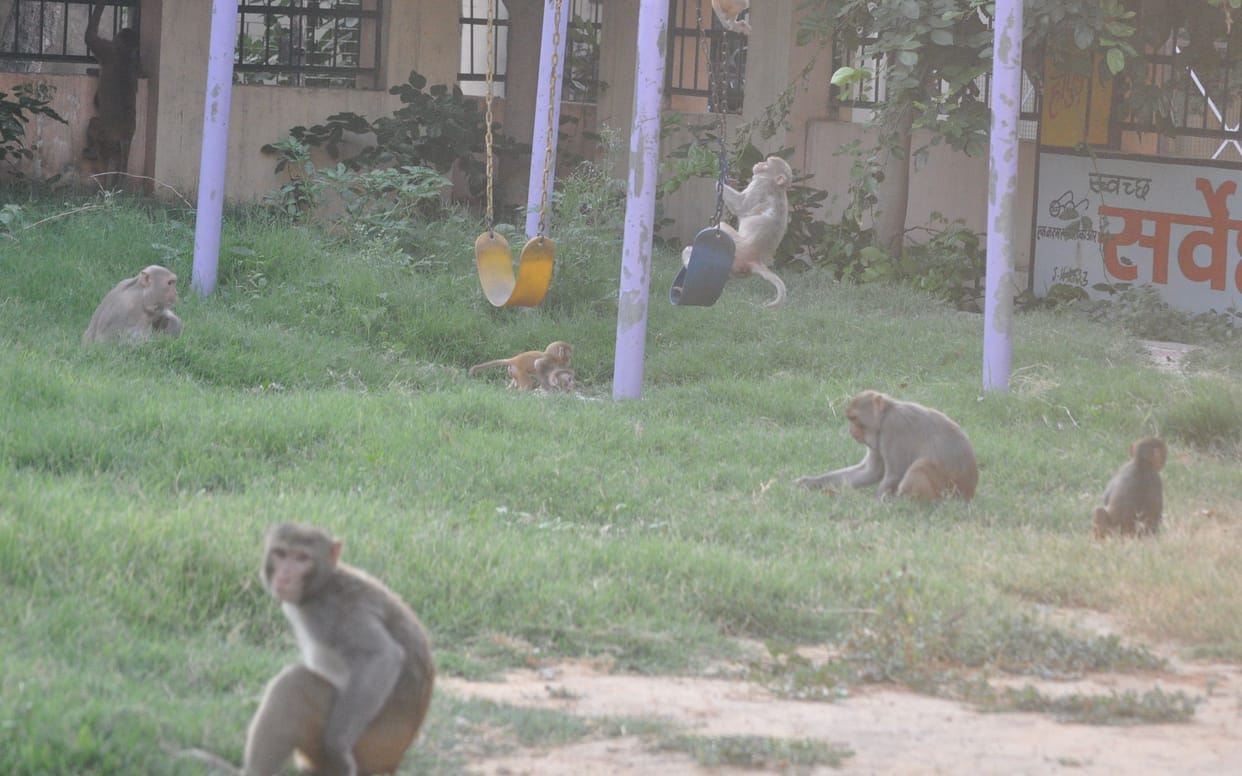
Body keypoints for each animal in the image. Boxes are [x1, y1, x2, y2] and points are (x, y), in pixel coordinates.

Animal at [84, 1, 141, 186]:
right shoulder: (133, 66)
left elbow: (90, 37)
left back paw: (92, 153)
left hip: (107, 137)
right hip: (115, 146)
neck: (125, 53)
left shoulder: (108, 50)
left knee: (94, 124)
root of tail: (125, 135)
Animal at [245, 523, 434, 776]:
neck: (323, 584)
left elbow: (382, 657)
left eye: (303, 558)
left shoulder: (333, 610)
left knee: (293, 685)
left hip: (371, 746)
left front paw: (337, 748)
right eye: (281, 553)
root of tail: (396, 760)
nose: (285, 575)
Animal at [681, 156, 791, 307]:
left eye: (767, 164)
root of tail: (755, 260)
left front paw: (719, 183)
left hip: (737, 251)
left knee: (721, 227)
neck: (778, 187)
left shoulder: (760, 186)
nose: (759, 163)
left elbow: (740, 206)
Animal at [795, 390, 978, 501]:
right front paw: (809, 482)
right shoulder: (878, 439)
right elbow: (869, 472)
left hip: (948, 492)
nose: (850, 431)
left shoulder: (893, 428)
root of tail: (969, 493)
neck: (885, 416)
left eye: (854, 418)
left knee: (921, 465)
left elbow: (894, 474)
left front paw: (876, 504)